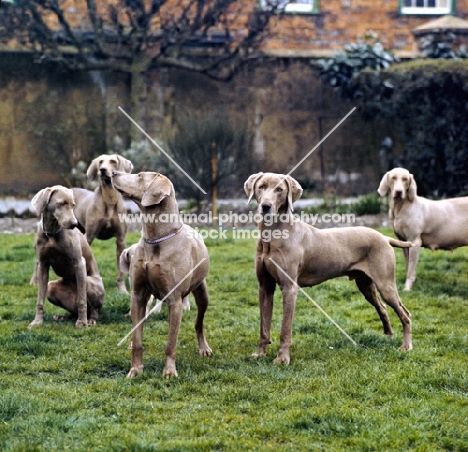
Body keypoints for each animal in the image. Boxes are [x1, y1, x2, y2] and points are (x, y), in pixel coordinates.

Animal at [28, 185, 104, 326]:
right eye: (61, 203)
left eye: (73, 205)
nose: (74, 224)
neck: (52, 233)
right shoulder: (42, 264)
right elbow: (40, 300)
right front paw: (37, 322)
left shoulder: (79, 262)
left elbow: (82, 300)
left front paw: (82, 323)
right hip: (51, 287)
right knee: (72, 311)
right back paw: (64, 317)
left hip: (90, 282)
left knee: (93, 308)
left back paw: (90, 319)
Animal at [72, 154, 133, 294]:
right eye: (100, 162)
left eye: (113, 161)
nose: (103, 170)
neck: (109, 199)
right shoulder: (89, 237)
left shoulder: (121, 240)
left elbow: (120, 271)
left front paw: (122, 291)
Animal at [111, 171, 212, 380]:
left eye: (140, 176)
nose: (113, 172)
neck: (155, 238)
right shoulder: (138, 295)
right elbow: (138, 337)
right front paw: (135, 369)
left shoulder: (174, 300)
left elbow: (171, 342)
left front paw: (169, 372)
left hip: (202, 293)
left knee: (199, 322)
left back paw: (204, 348)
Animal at [245, 171, 414, 366]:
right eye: (261, 187)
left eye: (280, 189)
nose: (266, 206)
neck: (273, 234)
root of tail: (384, 237)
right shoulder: (264, 287)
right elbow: (263, 326)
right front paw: (260, 354)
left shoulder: (289, 288)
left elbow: (285, 329)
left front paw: (282, 359)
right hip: (366, 285)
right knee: (383, 308)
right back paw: (388, 335)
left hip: (386, 284)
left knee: (405, 314)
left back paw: (406, 346)